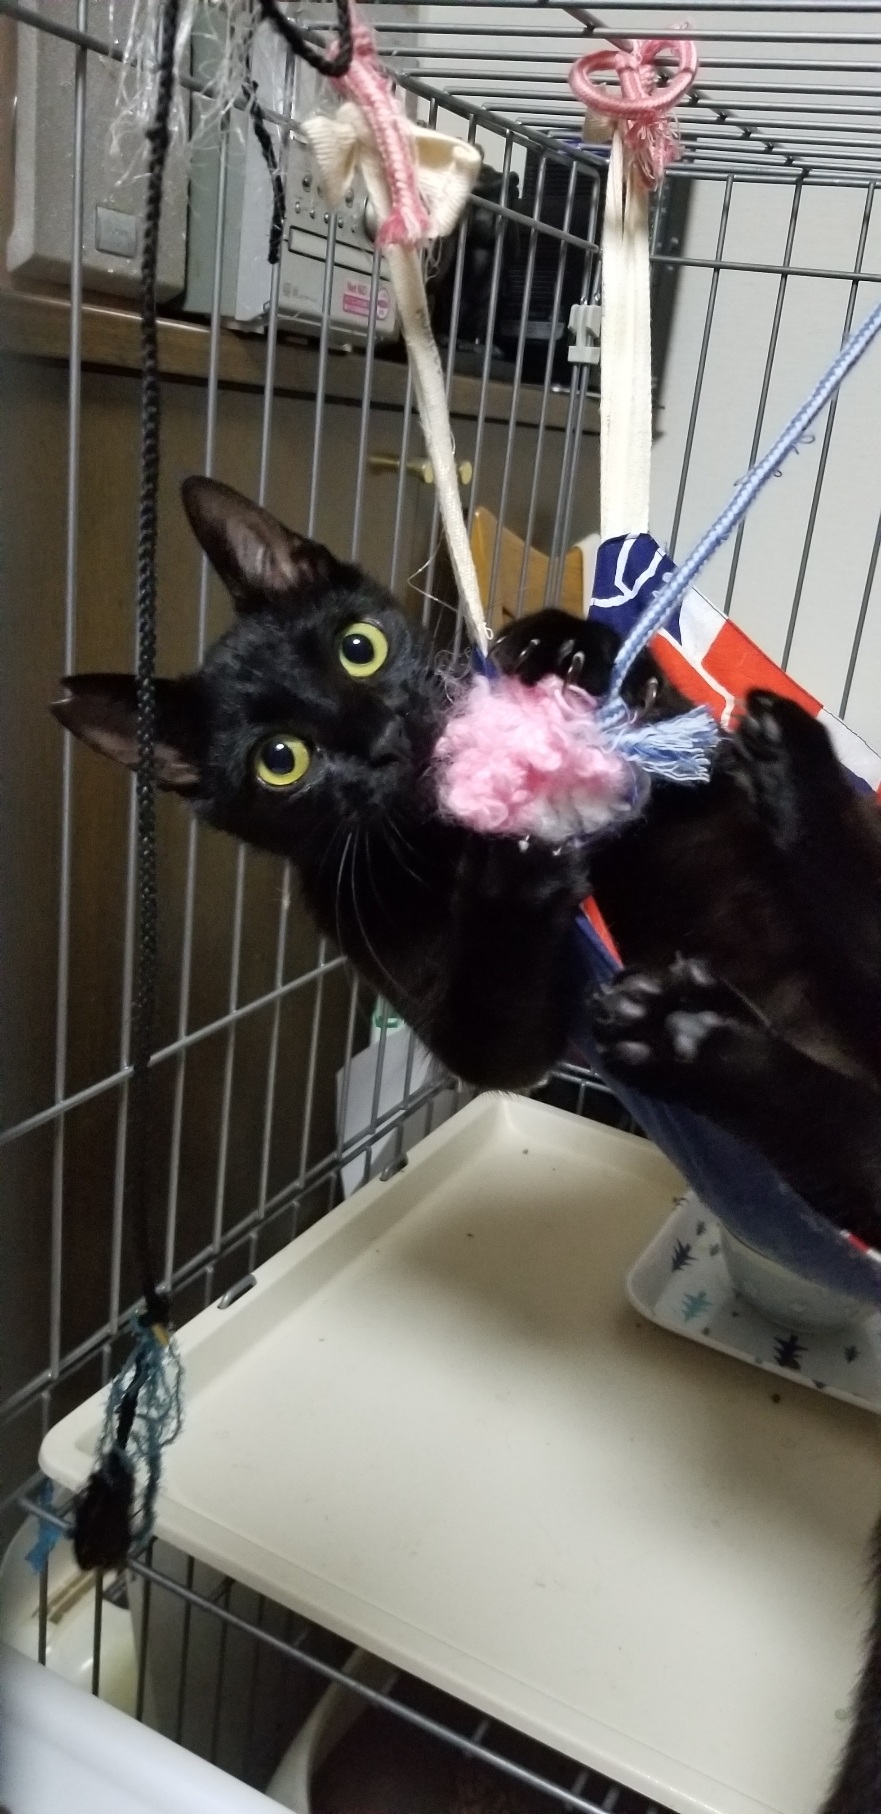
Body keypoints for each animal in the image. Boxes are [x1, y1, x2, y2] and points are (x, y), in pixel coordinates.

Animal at [53, 477, 881, 1813]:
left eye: (359, 645)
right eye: (281, 759)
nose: (389, 732)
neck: (424, 829)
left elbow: (655, 745)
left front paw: (565, 646)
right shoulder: (484, 1029)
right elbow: (500, 994)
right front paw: (508, 870)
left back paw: (786, 763)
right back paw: (692, 1031)